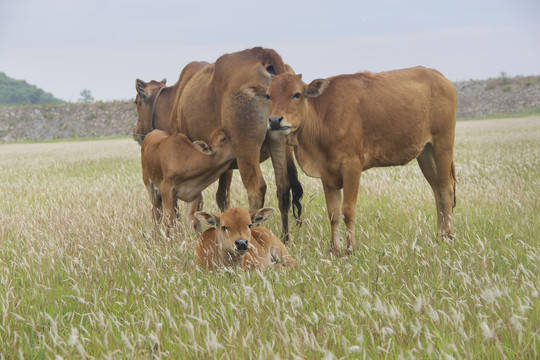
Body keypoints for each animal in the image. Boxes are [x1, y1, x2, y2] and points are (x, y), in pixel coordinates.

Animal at [171, 47, 304, 242]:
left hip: (245, 149)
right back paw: (284, 238)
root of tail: (261, 54)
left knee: (256, 189)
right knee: (283, 189)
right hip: (278, 142)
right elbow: (221, 197)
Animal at [243, 66, 458, 255]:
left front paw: (350, 248)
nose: (274, 120)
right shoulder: (326, 173)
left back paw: (448, 236)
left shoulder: (352, 166)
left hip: (442, 145)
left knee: (446, 190)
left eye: (297, 94)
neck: (324, 118)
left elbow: (348, 210)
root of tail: (441, 78)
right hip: (425, 153)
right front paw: (334, 249)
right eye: (268, 95)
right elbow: (333, 213)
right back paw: (439, 236)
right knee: (437, 191)